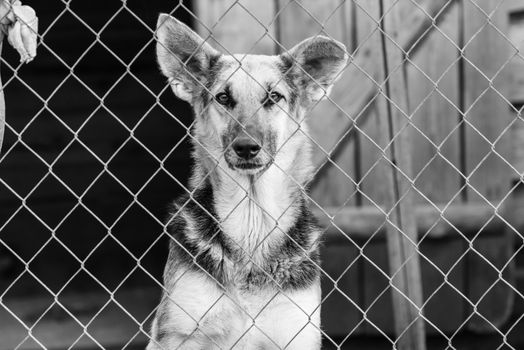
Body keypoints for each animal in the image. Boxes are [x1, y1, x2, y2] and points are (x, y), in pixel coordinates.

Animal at [146, 13, 348, 350]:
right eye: (224, 98)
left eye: (274, 97)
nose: (246, 147)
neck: (252, 219)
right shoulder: (180, 335)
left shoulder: (295, 334)